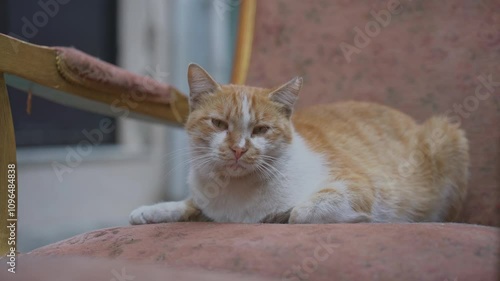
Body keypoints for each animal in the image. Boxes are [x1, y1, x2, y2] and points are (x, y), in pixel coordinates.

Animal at [130, 63, 468, 223]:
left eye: (261, 129)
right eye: (219, 124)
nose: (239, 148)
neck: (238, 196)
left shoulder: (358, 184)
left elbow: (300, 212)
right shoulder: (206, 201)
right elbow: (189, 203)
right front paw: (152, 210)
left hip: (449, 135)